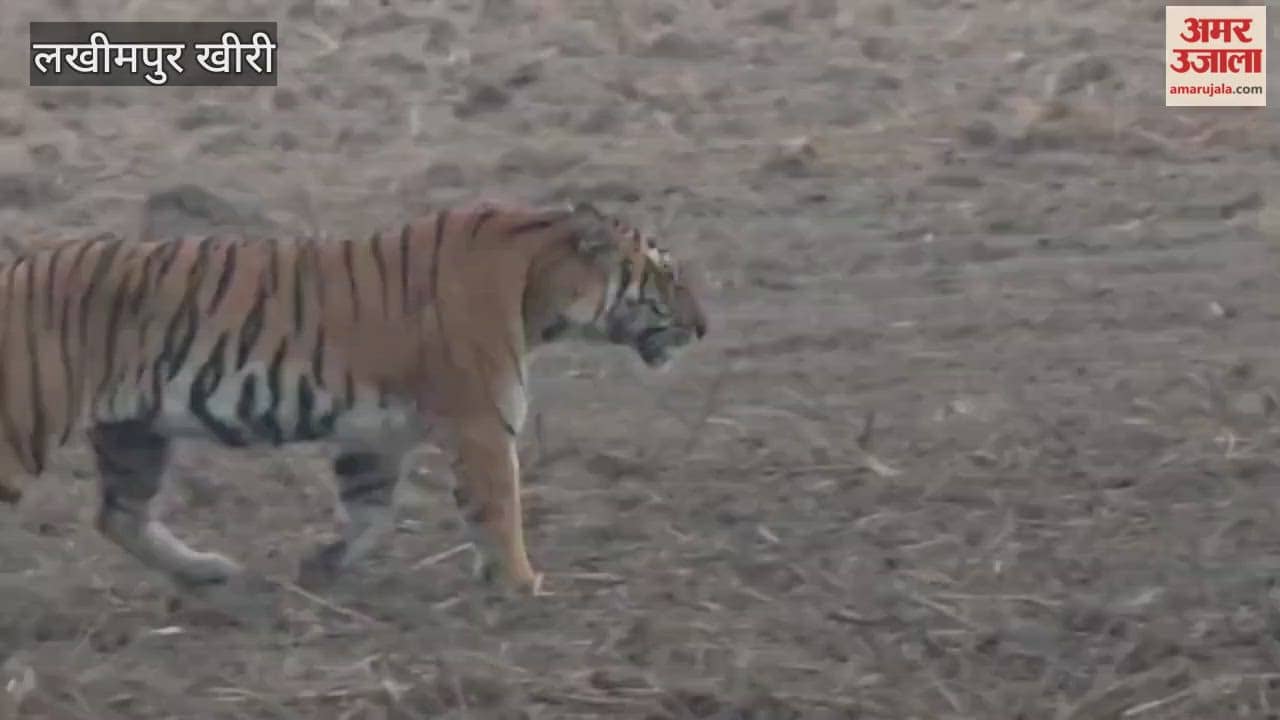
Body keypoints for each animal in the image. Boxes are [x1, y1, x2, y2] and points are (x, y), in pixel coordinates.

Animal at [0, 200, 707, 609]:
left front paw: (319, 566)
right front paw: (521, 583)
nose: (704, 328)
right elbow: (500, 507)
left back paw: (206, 572)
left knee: (119, 516)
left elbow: (370, 513)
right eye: (667, 275)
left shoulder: (374, 437)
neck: (542, 286)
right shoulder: (482, 423)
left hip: (133, 433)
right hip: (27, 426)